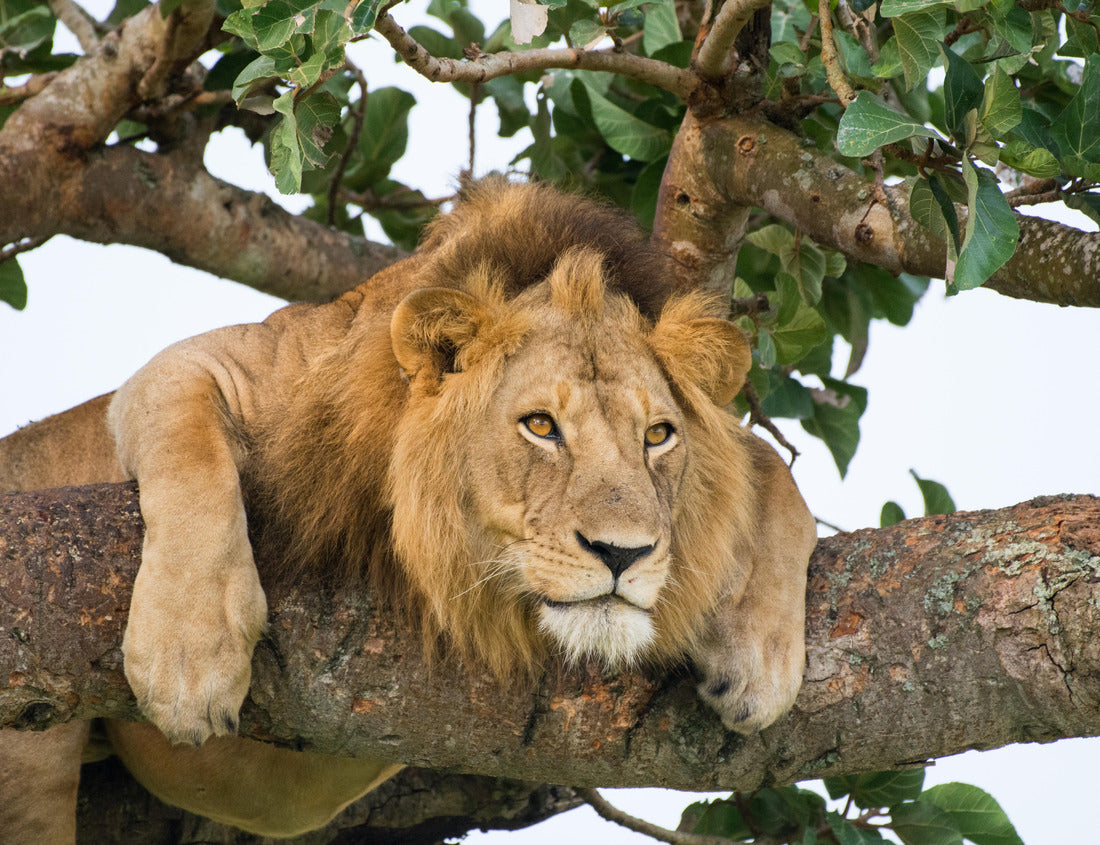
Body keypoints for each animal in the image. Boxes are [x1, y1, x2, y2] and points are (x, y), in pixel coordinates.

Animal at [0, 181, 816, 840]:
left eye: (657, 436)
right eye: (541, 425)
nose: (623, 553)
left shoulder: (281, 785)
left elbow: (771, 467)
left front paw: (759, 658)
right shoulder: (198, 369)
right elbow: (189, 450)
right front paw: (188, 659)